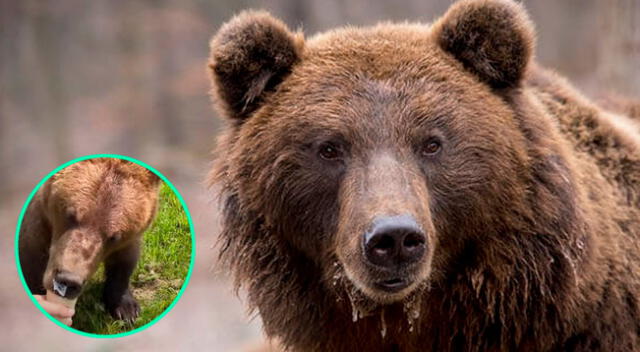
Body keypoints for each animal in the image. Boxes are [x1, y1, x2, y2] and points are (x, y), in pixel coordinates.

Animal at [19, 158, 161, 324]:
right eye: (70, 215)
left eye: (114, 237)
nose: (69, 281)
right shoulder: (39, 220)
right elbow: (31, 255)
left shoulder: (130, 238)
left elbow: (125, 260)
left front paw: (127, 310)